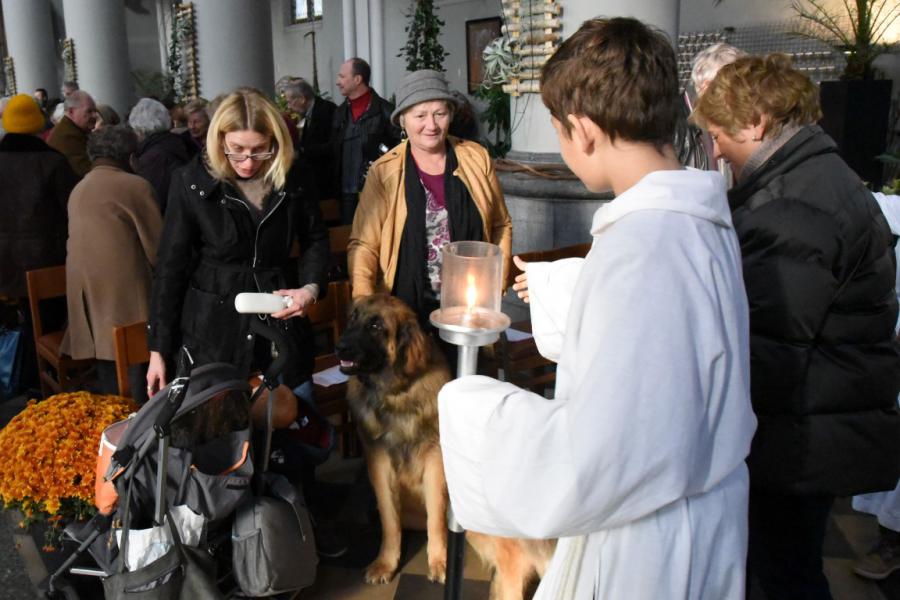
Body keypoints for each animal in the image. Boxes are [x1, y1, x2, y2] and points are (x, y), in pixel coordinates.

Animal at [334, 292, 552, 596]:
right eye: (353, 318)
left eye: (375, 326)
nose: (338, 346)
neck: (397, 393)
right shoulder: (379, 461)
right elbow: (390, 519)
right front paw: (386, 563)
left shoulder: (435, 460)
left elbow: (436, 517)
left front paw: (439, 562)